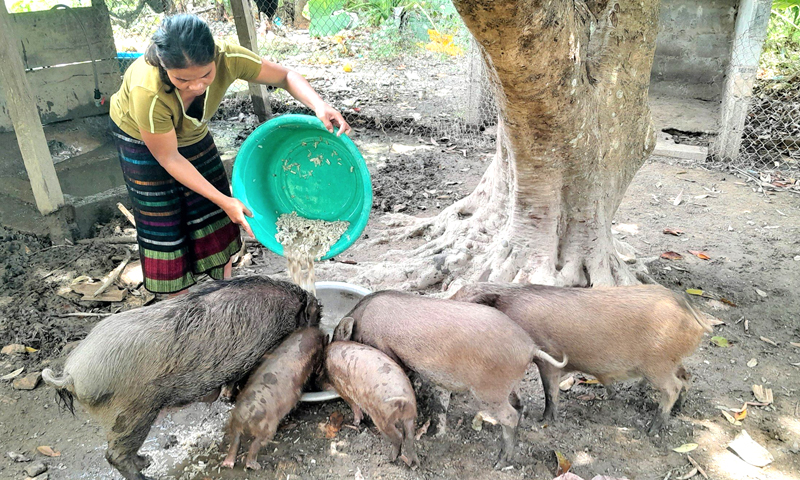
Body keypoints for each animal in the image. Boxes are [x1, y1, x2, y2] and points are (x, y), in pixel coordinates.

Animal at [220, 326, 324, 468]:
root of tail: (247, 413)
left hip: (234, 422)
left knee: (235, 441)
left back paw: (227, 464)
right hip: (268, 428)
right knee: (255, 444)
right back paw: (254, 465)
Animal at [332, 290, 568, 466]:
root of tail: (530, 348)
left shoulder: (385, 348)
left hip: (489, 392)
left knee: (510, 416)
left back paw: (500, 463)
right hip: (511, 385)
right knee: (520, 406)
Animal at [450, 282, 712, 436]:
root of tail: (692, 311)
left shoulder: (548, 358)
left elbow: (550, 391)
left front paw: (543, 420)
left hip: (657, 365)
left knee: (673, 387)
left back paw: (652, 430)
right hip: (672, 361)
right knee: (687, 377)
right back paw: (678, 411)